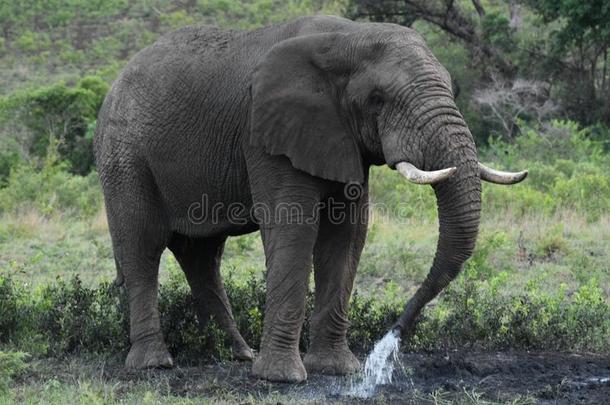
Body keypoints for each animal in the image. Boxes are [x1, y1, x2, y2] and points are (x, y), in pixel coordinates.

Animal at [92, 15, 524, 382]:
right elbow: (294, 227)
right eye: (378, 98)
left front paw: (336, 370)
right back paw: (154, 364)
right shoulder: (266, 133)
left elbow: (347, 234)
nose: (394, 334)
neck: (347, 38)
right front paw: (282, 378)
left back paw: (239, 354)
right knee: (143, 246)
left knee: (201, 254)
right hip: (123, 154)